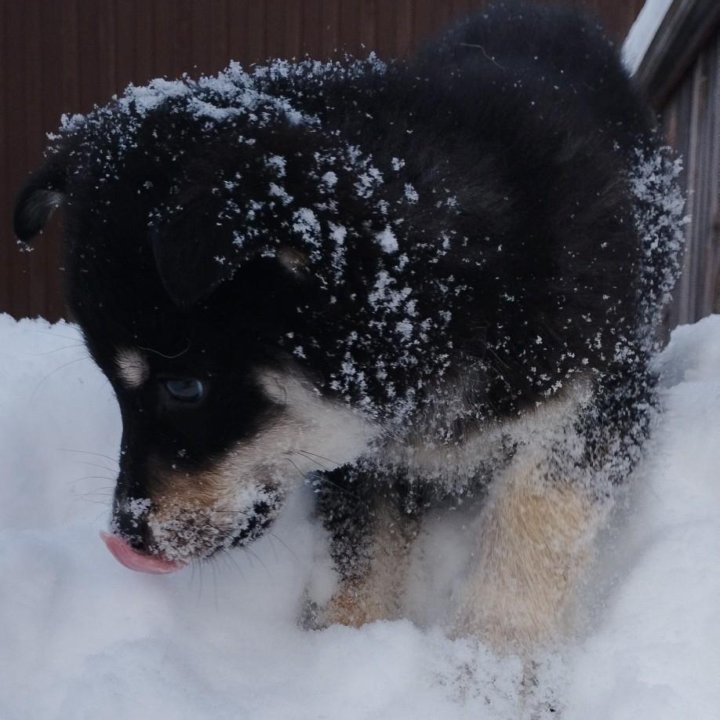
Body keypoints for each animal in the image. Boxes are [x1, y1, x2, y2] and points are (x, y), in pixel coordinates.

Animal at [14, 1, 684, 652]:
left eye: (185, 387)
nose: (126, 537)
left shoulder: (600, 394)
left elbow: (536, 515)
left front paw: (494, 658)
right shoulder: (365, 452)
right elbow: (361, 549)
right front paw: (346, 644)